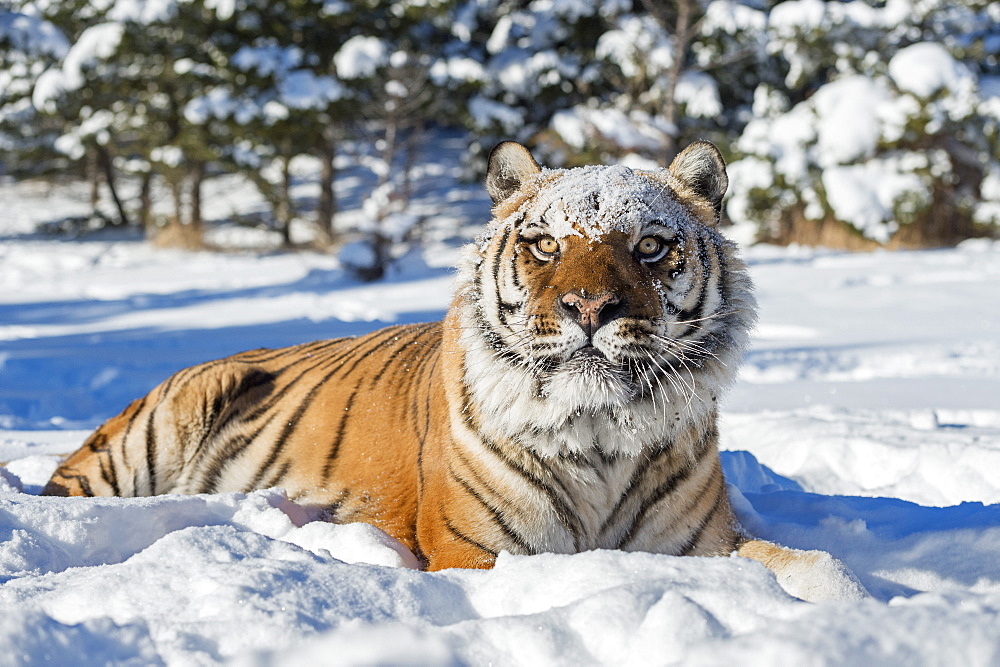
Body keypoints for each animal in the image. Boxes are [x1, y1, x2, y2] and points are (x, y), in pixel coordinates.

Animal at [43, 142, 864, 604]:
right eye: (545, 244)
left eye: (651, 246)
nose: (589, 308)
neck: (600, 431)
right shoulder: (476, 548)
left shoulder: (701, 544)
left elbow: (822, 567)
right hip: (153, 430)